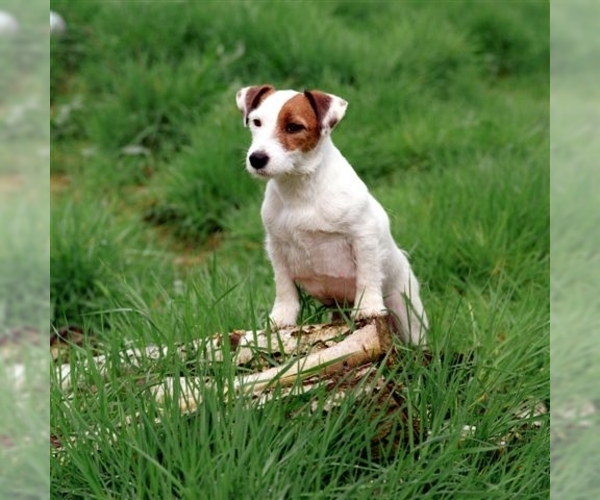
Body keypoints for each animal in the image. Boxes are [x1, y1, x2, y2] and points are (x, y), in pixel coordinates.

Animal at [237, 86, 428, 344]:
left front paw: (368, 307)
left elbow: (367, 273)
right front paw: (281, 317)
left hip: (407, 312)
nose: (256, 159)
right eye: (256, 122)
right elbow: (284, 286)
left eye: (294, 127)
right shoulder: (276, 246)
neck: (300, 189)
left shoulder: (363, 235)